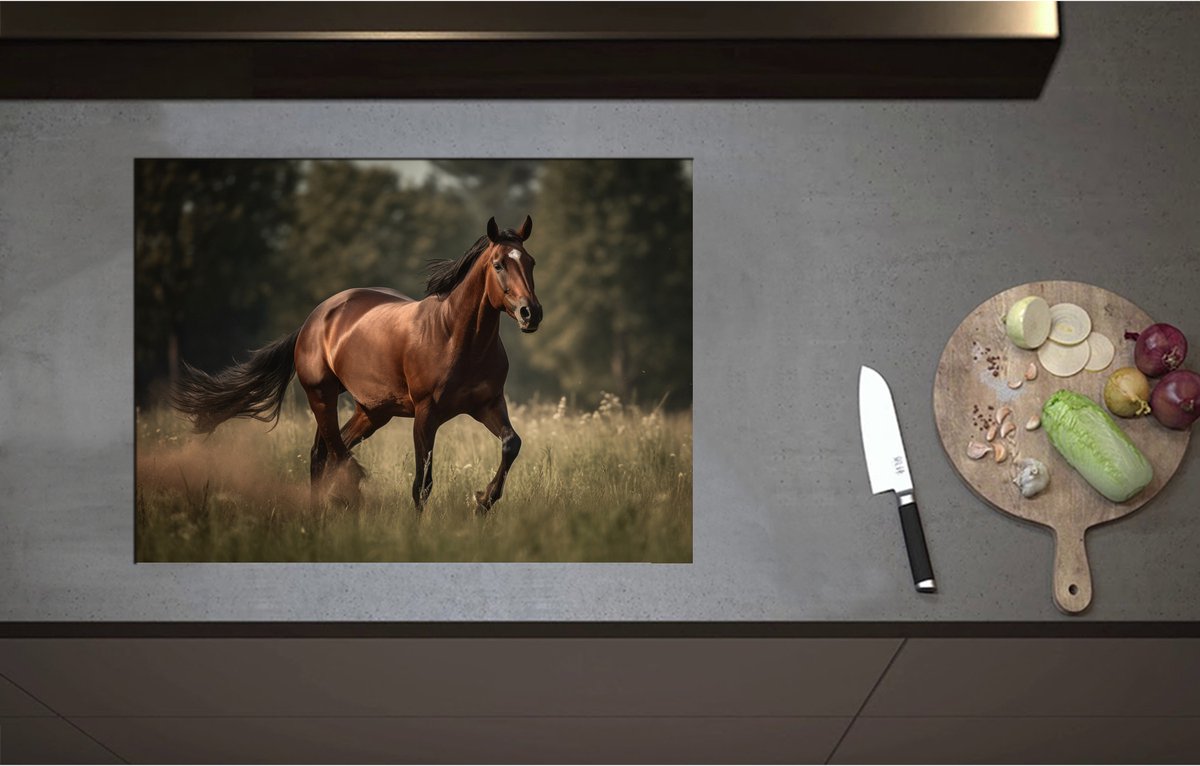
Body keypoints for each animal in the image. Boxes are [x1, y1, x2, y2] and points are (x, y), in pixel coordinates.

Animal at [171, 215, 543, 512]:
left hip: (372, 411)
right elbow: (422, 484)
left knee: (327, 452)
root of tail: (313, 320)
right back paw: (342, 500)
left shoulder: (487, 404)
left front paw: (484, 501)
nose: (531, 313)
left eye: (531, 262)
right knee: (331, 453)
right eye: (498, 264)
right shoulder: (426, 414)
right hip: (322, 395)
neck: (455, 337)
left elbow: (511, 443)